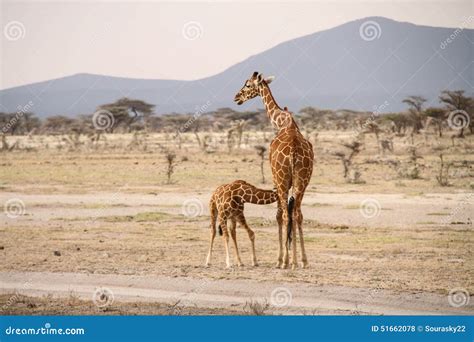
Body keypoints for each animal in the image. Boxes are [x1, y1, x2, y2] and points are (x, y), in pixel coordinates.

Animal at [234, 73, 314, 270]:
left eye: (248, 85)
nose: (236, 97)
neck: (283, 122)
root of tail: (293, 151)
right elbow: (293, 214)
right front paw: (295, 259)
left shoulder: (275, 180)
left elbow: (278, 215)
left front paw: (280, 259)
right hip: (303, 181)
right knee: (297, 214)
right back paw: (302, 261)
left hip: (282, 180)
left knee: (285, 215)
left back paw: (286, 262)